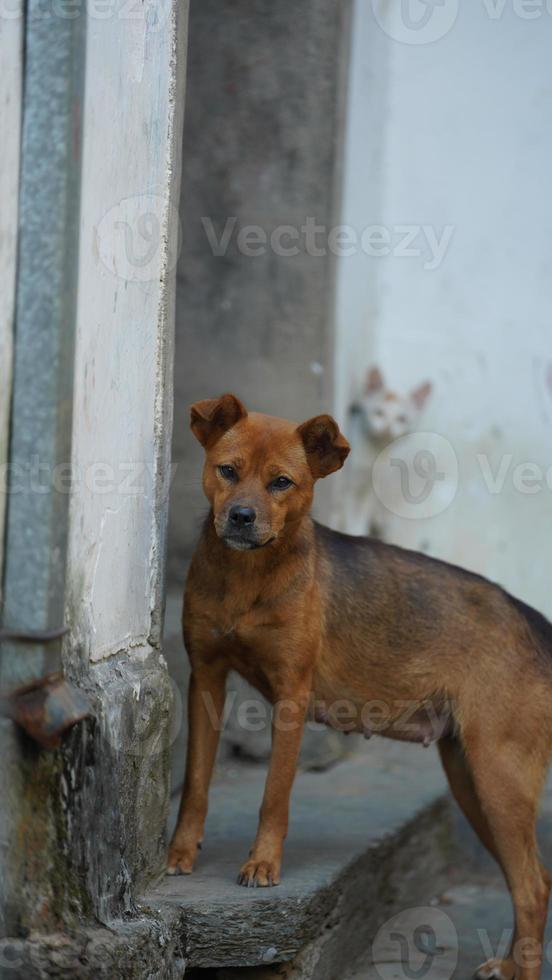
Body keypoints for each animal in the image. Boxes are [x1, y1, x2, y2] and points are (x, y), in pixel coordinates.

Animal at [168, 392, 552, 980]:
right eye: (226, 471)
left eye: (282, 483)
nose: (240, 517)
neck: (249, 578)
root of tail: (533, 621)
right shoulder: (206, 676)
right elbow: (196, 782)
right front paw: (181, 853)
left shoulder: (291, 696)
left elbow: (273, 795)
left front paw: (262, 863)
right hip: (472, 782)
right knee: (532, 880)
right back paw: (507, 965)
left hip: (500, 777)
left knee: (532, 888)